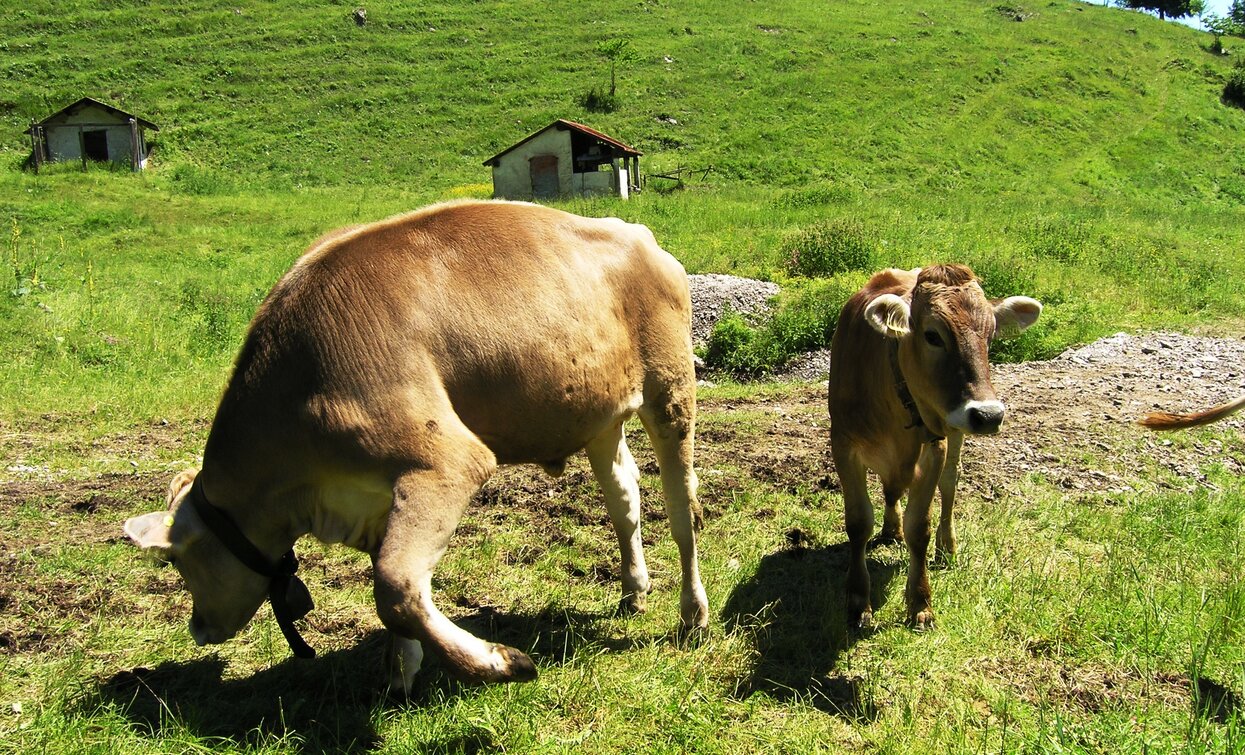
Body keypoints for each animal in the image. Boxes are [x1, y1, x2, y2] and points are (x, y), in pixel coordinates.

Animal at [128, 199, 712, 692]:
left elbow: (393, 587)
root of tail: (635, 232)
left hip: (670, 386)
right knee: (624, 497)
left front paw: (501, 663)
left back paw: (693, 615)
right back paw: (634, 589)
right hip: (598, 412)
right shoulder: (377, 494)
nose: (197, 628)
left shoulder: (447, 462)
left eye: (176, 561)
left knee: (681, 508)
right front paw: (401, 675)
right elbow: (392, 581)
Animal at [831, 266, 1045, 632]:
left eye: (990, 336)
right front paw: (858, 602)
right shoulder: (843, 445)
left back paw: (947, 545)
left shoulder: (935, 447)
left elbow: (920, 528)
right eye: (933, 336)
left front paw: (920, 602)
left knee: (949, 483)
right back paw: (891, 528)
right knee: (891, 490)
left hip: (954, 431)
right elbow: (858, 523)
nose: (989, 415)